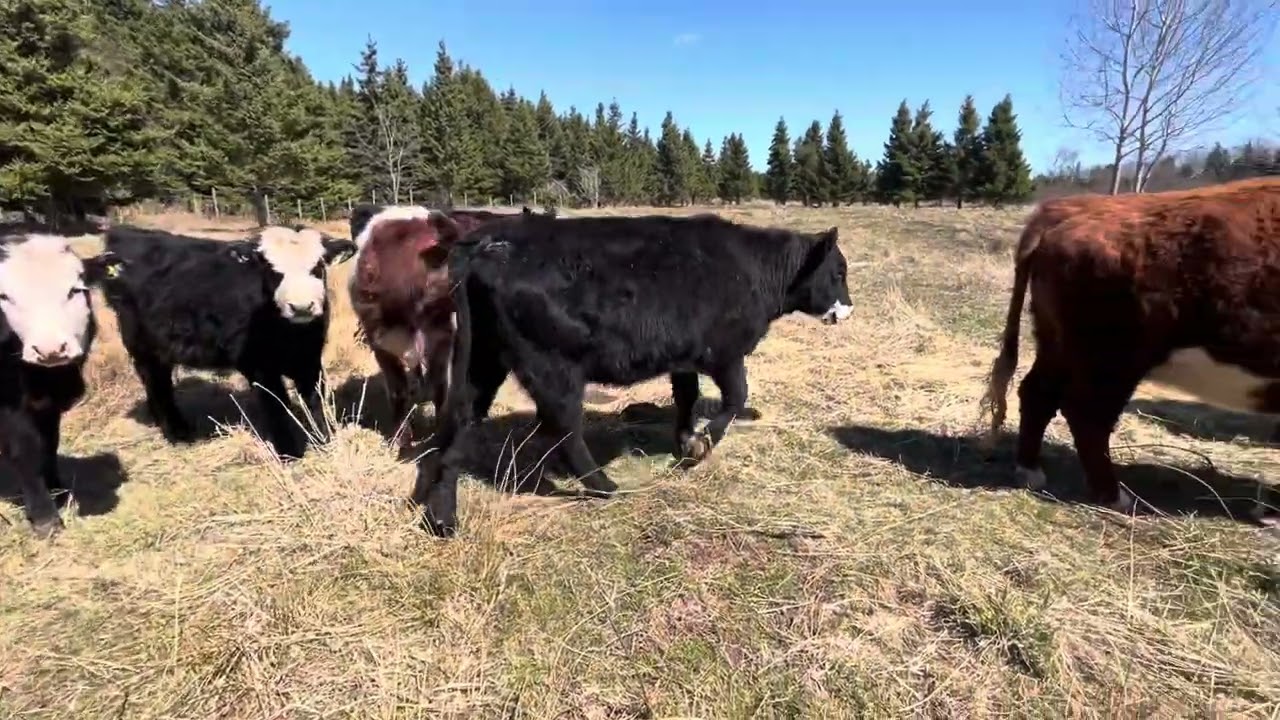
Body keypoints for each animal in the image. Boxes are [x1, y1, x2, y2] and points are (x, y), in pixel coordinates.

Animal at [0, 233, 124, 536]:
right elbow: (24, 450)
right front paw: (45, 516)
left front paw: (59, 492)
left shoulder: (50, 404)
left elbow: (50, 443)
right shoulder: (8, 404)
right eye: (5, 297)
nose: (50, 349)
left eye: (75, 290)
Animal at [97, 224, 357, 459]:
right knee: (155, 383)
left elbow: (315, 400)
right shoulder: (258, 366)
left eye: (318, 266)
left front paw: (325, 441)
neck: (291, 335)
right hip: (141, 345)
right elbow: (277, 405)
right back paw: (178, 434)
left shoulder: (309, 359)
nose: (301, 306)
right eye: (270, 269)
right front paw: (289, 453)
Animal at [347, 204, 555, 448]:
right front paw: (400, 439)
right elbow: (398, 390)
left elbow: (439, 387)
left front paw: (438, 435)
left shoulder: (442, 334)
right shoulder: (379, 339)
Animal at [408, 211, 855, 537]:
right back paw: (604, 486)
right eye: (838, 272)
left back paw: (443, 517)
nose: (848, 309)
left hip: (482, 362)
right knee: (563, 429)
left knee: (462, 423)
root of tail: (486, 242)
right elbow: (735, 397)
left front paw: (685, 441)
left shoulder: (683, 358)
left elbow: (687, 398)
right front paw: (700, 445)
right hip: (552, 368)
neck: (750, 268)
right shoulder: (725, 353)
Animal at [979, 176, 1280, 518]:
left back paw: (1031, 472)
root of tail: (1066, 210)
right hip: (1114, 361)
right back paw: (1116, 497)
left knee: (1037, 393)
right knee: (1087, 415)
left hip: (1059, 346)